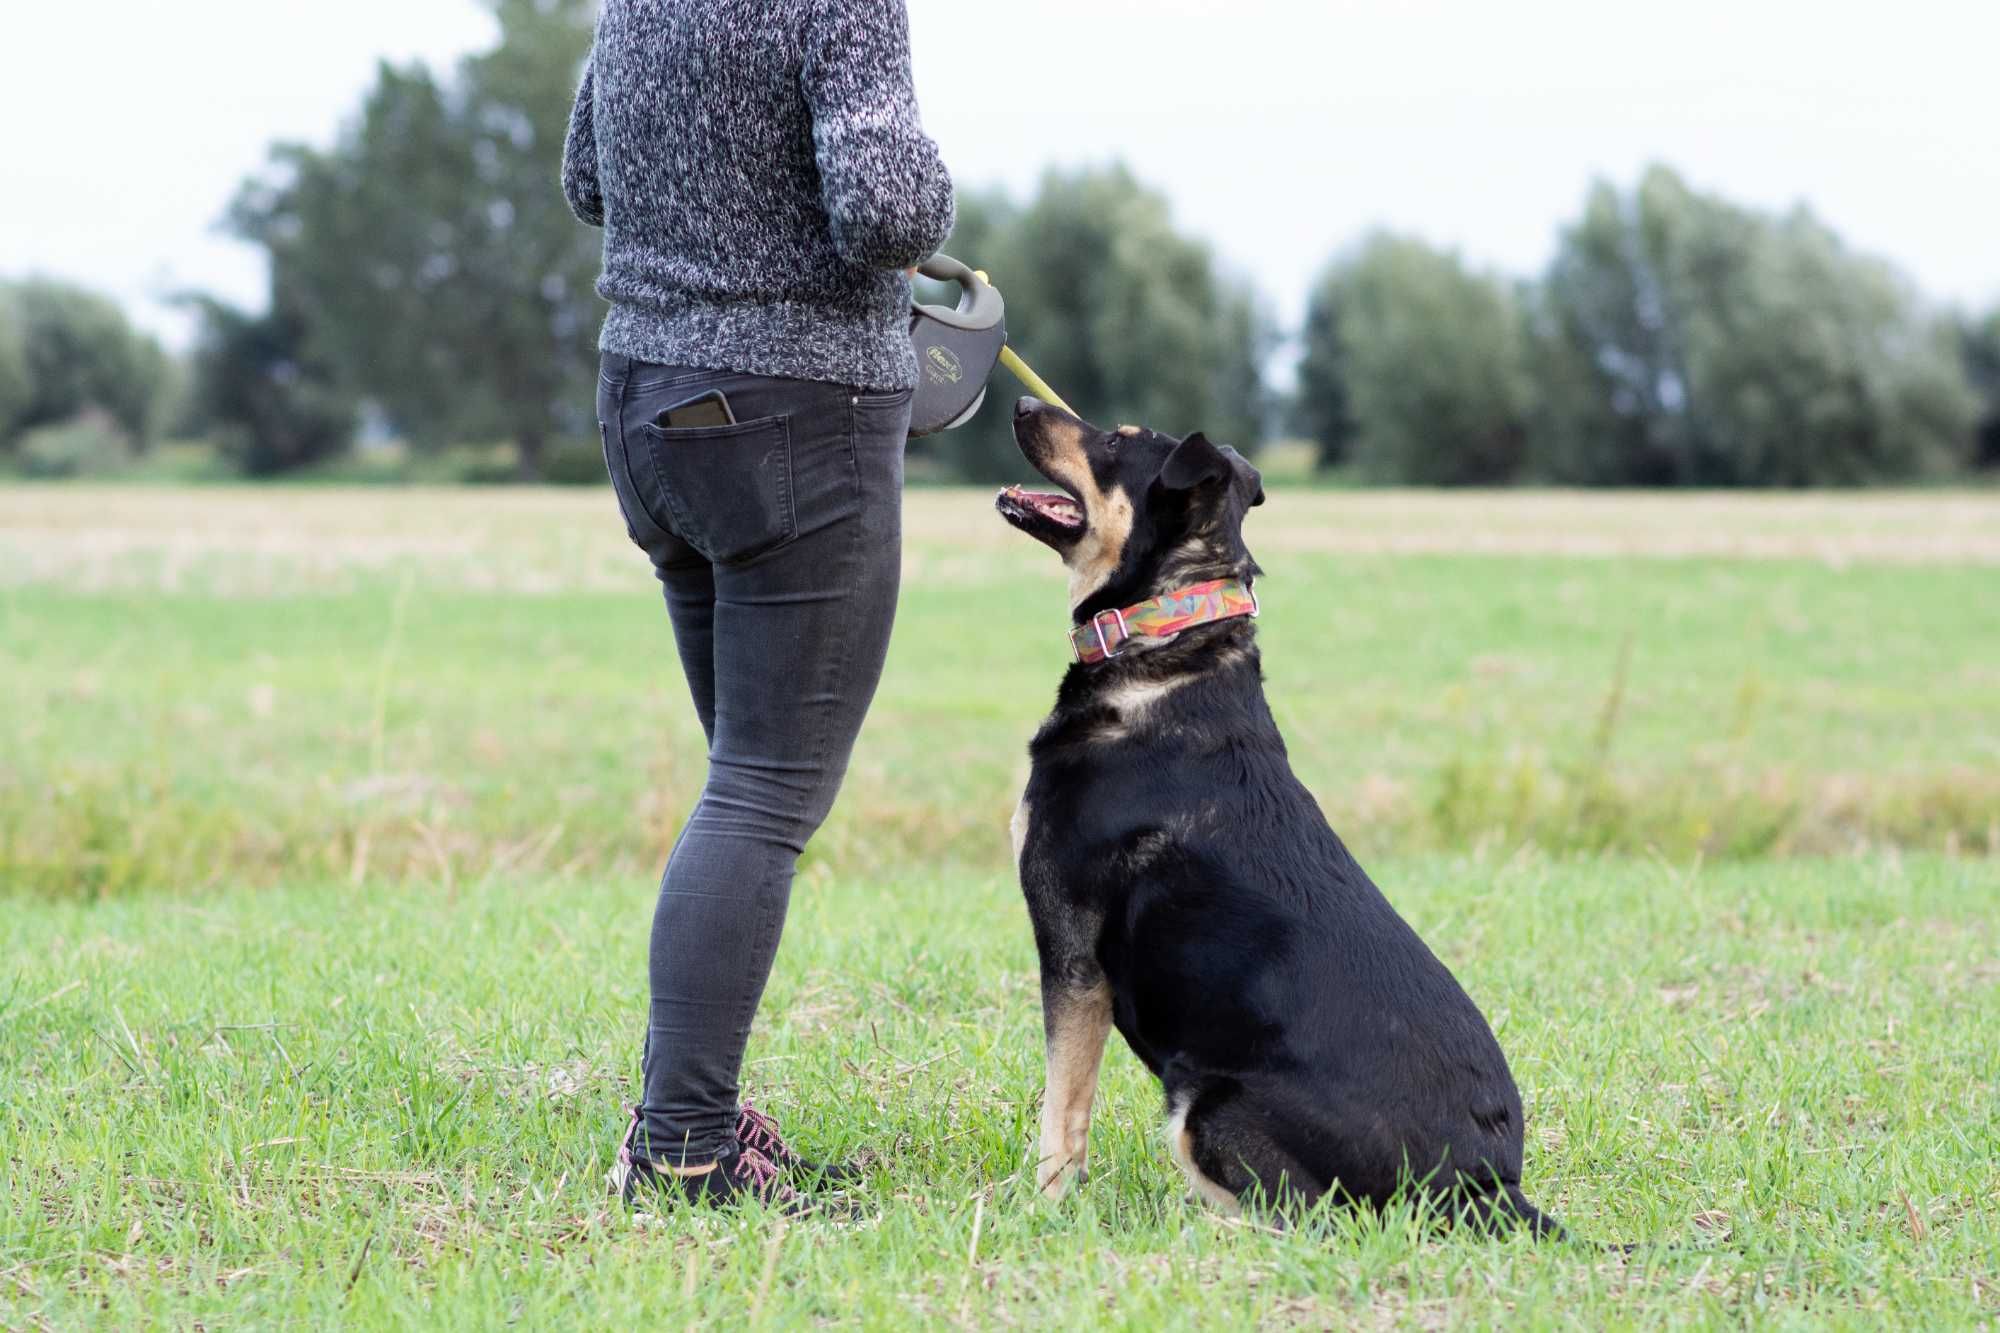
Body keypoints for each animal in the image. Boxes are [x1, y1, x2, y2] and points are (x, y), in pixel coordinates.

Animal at [1000, 396, 1560, 1232]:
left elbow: (1061, 1112)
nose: (1022, 400)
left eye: (1117, 440)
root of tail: (1490, 1184)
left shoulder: (1072, 952)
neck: (1167, 634)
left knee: (1295, 1219)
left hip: (1204, 1102)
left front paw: (1040, 1211)